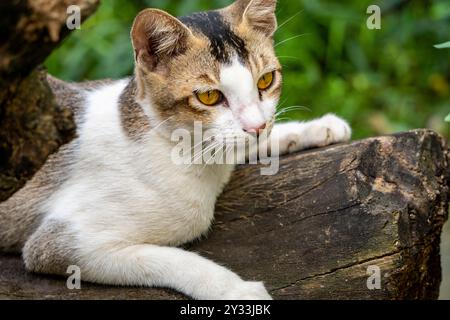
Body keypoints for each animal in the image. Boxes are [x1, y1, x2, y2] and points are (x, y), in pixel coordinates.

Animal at [0, 0, 350, 300]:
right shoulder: (59, 243)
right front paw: (236, 290)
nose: (256, 127)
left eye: (266, 80)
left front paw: (317, 127)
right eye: (209, 97)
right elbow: (170, 259)